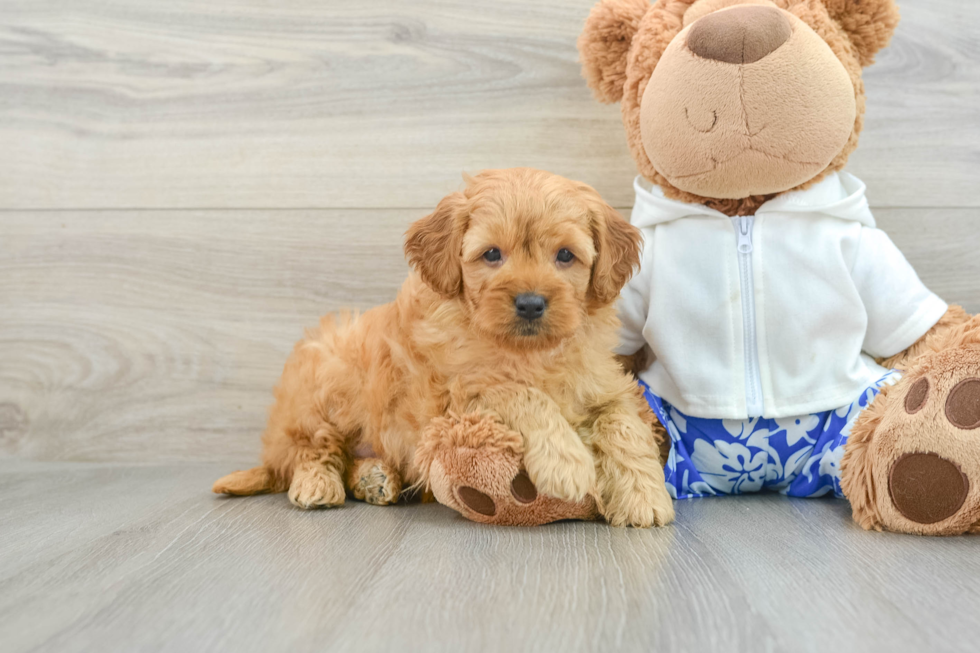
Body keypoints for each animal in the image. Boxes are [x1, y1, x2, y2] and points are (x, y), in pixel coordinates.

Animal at [214, 167, 672, 524]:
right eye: (492, 254)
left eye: (565, 255)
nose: (530, 303)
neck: (527, 352)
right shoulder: (453, 397)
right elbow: (519, 392)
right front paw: (566, 462)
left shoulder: (606, 383)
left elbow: (624, 423)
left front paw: (645, 496)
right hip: (327, 376)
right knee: (313, 447)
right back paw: (317, 484)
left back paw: (374, 478)